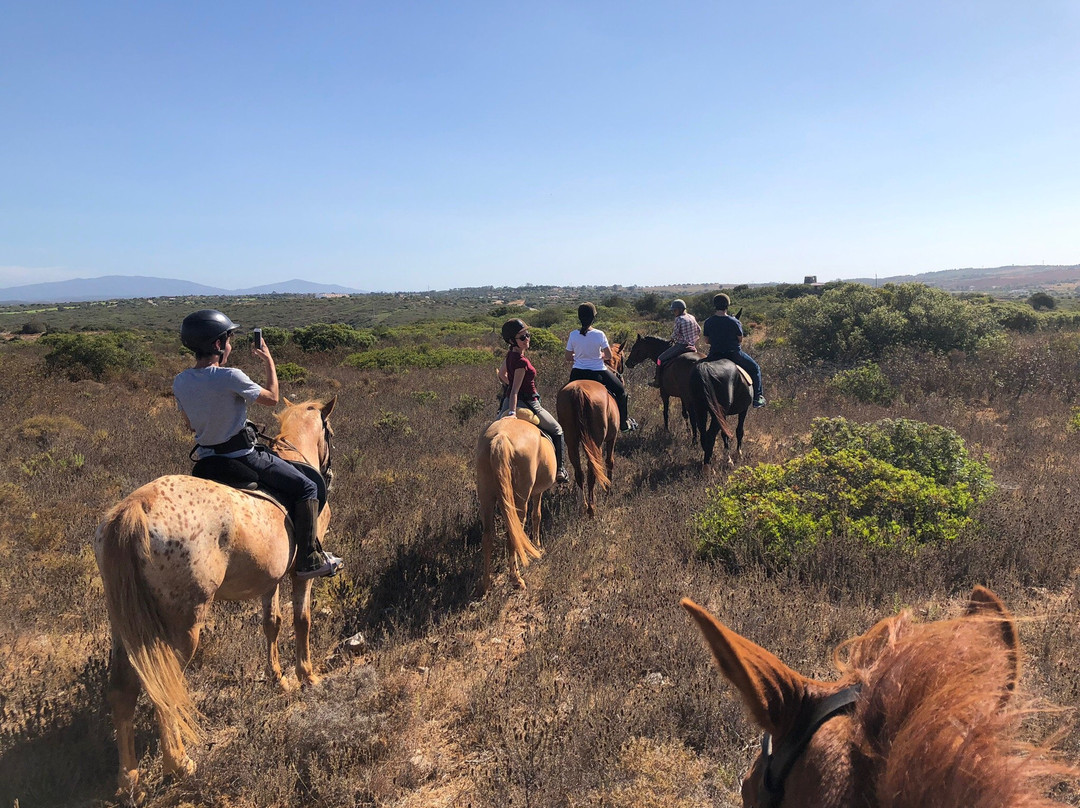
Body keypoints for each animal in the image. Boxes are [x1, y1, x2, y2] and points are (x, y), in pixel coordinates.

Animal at [94, 395, 336, 799]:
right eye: (329, 433)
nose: (330, 474)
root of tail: (135, 508)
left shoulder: (269, 580)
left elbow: (272, 624)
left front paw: (278, 678)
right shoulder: (300, 575)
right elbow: (302, 621)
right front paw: (308, 676)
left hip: (125, 626)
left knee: (123, 690)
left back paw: (129, 780)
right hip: (181, 628)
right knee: (162, 687)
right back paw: (179, 765)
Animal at [475, 416, 552, 591]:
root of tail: (501, 437)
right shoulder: (537, 491)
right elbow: (537, 515)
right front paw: (537, 546)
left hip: (486, 495)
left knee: (488, 535)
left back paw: (486, 584)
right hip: (520, 497)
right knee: (514, 532)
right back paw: (516, 578)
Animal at [557, 341, 626, 518]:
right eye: (622, 357)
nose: (621, 373)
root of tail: (579, 391)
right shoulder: (612, 437)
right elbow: (609, 461)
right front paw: (608, 490)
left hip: (571, 440)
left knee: (579, 471)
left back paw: (582, 505)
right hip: (596, 440)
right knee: (592, 469)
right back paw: (591, 508)